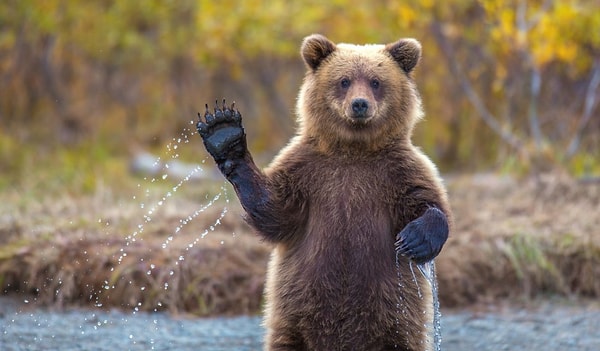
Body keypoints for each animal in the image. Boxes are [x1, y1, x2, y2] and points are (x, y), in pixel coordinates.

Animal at [197, 33, 450, 351]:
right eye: (344, 80)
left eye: (376, 81)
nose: (359, 104)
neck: (353, 149)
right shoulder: (308, 170)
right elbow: (275, 211)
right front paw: (224, 132)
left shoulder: (398, 170)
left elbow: (428, 201)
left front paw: (415, 239)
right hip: (293, 318)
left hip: (396, 321)